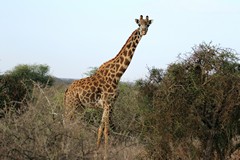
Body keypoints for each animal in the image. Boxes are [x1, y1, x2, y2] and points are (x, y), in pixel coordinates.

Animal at [64, 15, 152, 159]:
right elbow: (107, 129)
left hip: (78, 107)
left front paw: (96, 151)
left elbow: (101, 128)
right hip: (72, 105)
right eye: (139, 24)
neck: (118, 74)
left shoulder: (107, 105)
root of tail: (66, 90)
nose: (144, 31)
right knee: (67, 123)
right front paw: (106, 154)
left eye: (148, 24)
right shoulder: (109, 103)